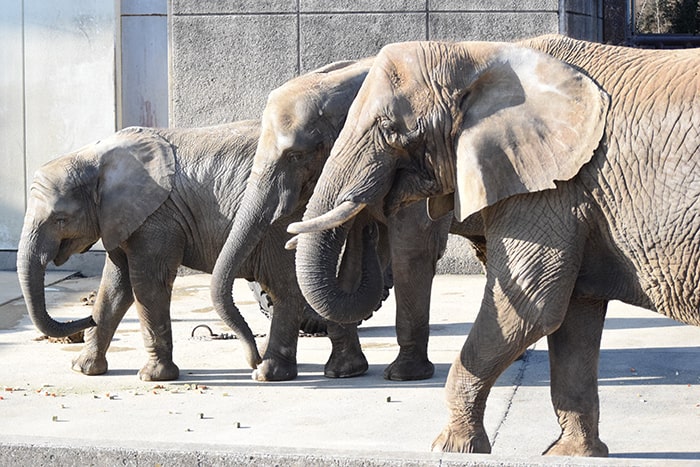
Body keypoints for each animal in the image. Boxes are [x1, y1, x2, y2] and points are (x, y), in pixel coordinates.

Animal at [17, 122, 364, 382]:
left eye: (60, 219)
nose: (82, 317)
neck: (95, 157)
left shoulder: (156, 219)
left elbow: (147, 284)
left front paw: (153, 377)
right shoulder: (121, 219)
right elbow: (115, 288)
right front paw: (83, 369)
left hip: (283, 224)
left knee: (286, 288)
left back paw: (276, 371)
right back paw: (336, 370)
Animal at [211, 56, 484, 382]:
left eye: (296, 156)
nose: (252, 361)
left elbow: (413, 245)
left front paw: (404, 374)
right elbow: (349, 265)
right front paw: (345, 371)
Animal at [286, 34, 700, 458]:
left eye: (391, 129)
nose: (369, 224)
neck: (479, 55)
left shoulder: (547, 188)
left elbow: (532, 308)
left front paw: (450, 448)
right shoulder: (569, 192)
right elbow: (573, 318)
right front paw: (570, 455)